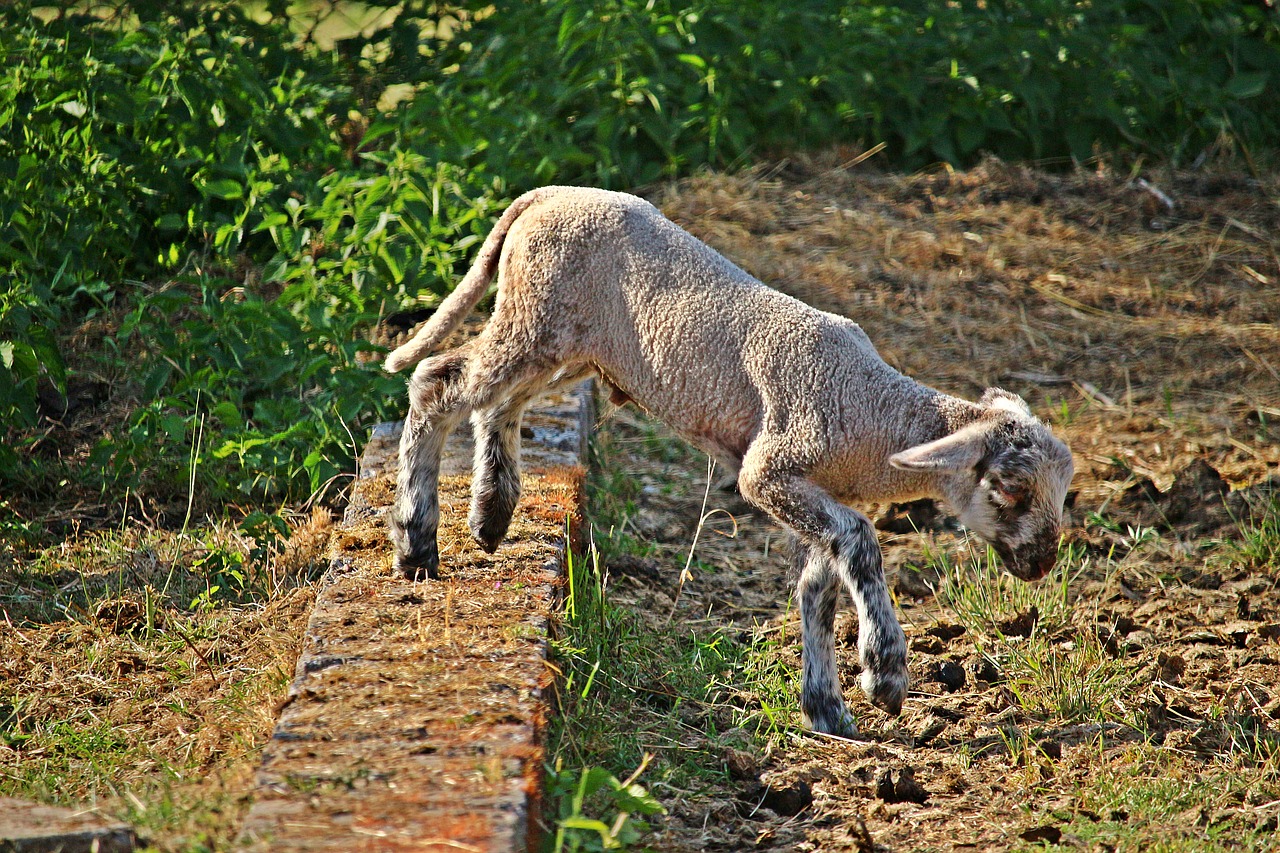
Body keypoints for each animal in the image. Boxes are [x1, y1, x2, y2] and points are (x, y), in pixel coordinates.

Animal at [384, 184, 1075, 732]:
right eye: (1010, 489)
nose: (1043, 563)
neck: (870, 414)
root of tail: (547, 194)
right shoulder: (770, 470)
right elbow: (859, 544)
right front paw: (884, 674)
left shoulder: (816, 494)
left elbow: (819, 587)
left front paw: (827, 710)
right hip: (535, 316)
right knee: (437, 382)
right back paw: (418, 543)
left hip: (572, 347)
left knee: (496, 405)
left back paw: (489, 514)